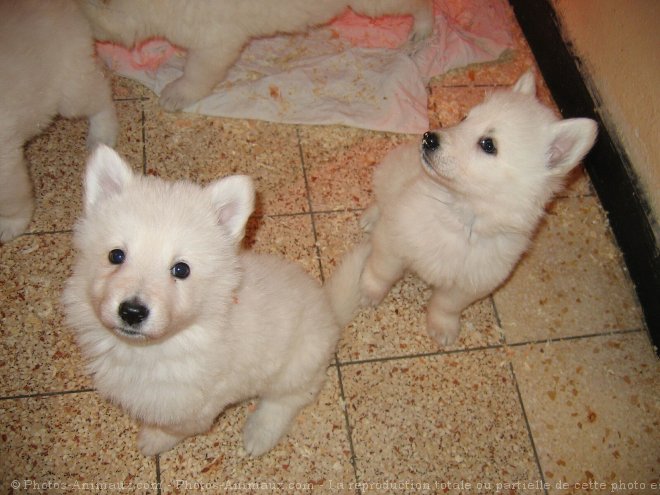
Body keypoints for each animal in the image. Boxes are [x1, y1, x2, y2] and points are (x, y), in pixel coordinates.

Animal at [0, 0, 117, 242]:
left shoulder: (5, 163)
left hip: (71, 93)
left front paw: (10, 226)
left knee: (102, 95)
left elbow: (11, 201)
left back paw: (102, 135)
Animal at [63, 146, 368, 458]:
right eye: (116, 255)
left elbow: (174, 428)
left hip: (296, 366)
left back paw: (259, 433)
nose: (132, 312)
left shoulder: (195, 405)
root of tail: (328, 309)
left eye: (181, 269)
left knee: (290, 398)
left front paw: (153, 439)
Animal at [358, 71, 600, 346]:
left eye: (488, 144)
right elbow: (382, 270)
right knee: (381, 200)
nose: (429, 137)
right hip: (390, 174)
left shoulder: (470, 283)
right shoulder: (395, 238)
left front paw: (442, 327)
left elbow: (445, 305)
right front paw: (368, 292)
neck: (461, 216)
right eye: (466, 118)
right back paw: (370, 218)